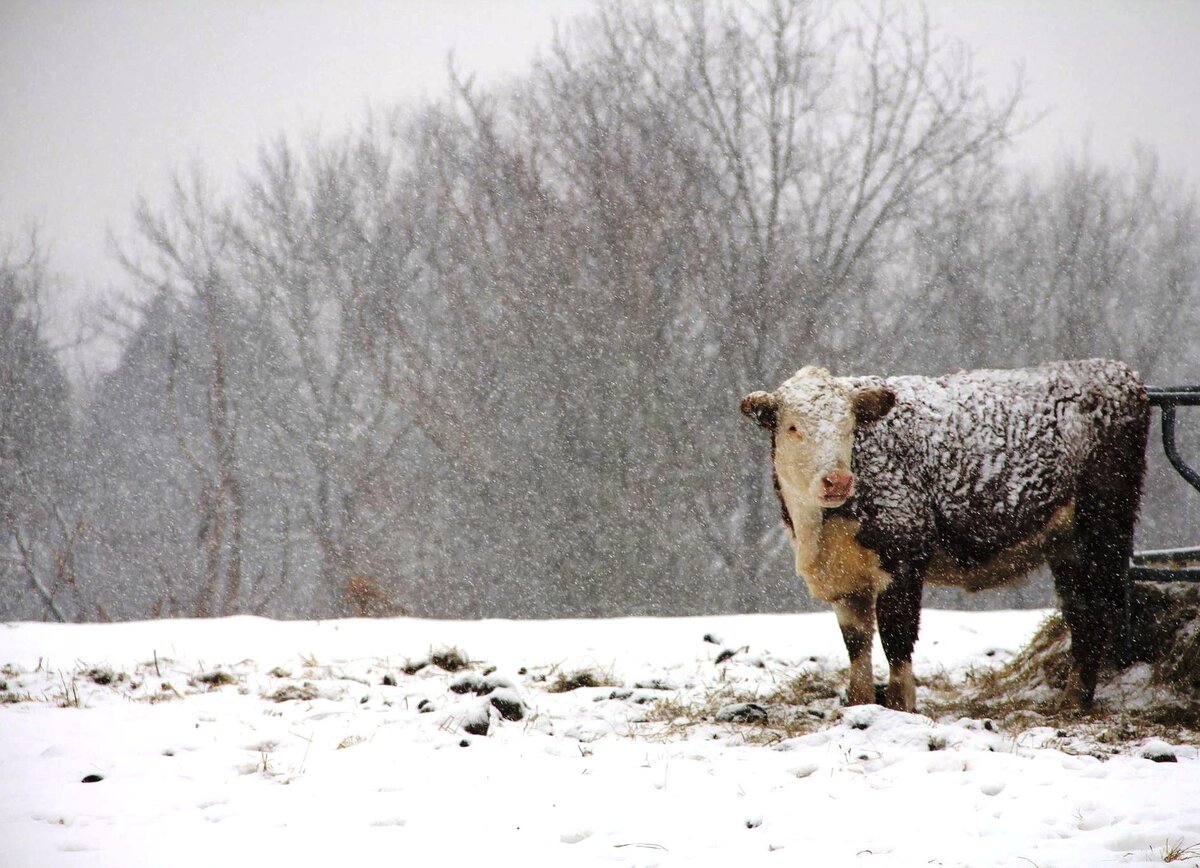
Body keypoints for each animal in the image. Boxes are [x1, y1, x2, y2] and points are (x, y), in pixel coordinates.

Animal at [739, 360, 1152, 710]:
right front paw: (859, 705)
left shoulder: (902, 557)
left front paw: (900, 708)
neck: (817, 531)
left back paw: (1077, 700)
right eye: (793, 427)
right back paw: (1072, 700)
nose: (837, 480)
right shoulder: (845, 581)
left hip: (1103, 526)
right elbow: (857, 647)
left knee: (1100, 607)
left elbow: (897, 640)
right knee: (1081, 611)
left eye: (849, 427)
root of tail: (1118, 372)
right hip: (1067, 544)